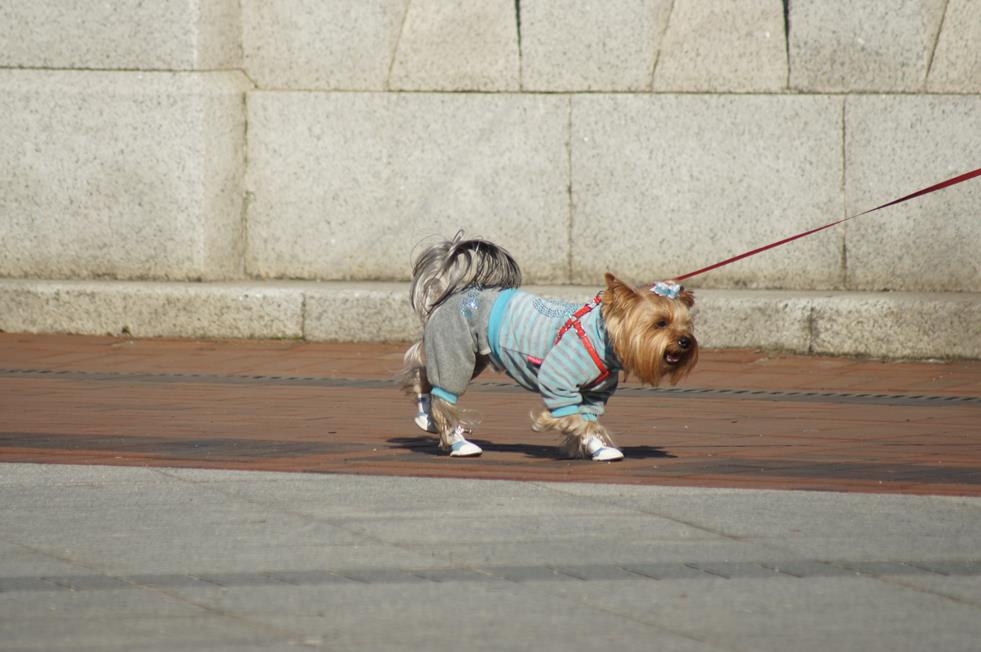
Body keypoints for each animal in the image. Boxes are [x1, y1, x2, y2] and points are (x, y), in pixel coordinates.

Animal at [398, 232, 696, 460]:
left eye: (687, 324)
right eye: (660, 323)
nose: (685, 342)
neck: (603, 339)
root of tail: (450, 293)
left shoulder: (595, 393)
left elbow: (588, 418)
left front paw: (597, 446)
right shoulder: (557, 380)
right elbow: (572, 416)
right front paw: (551, 422)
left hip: (474, 356)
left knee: (424, 375)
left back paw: (426, 416)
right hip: (454, 347)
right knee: (443, 394)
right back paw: (457, 441)